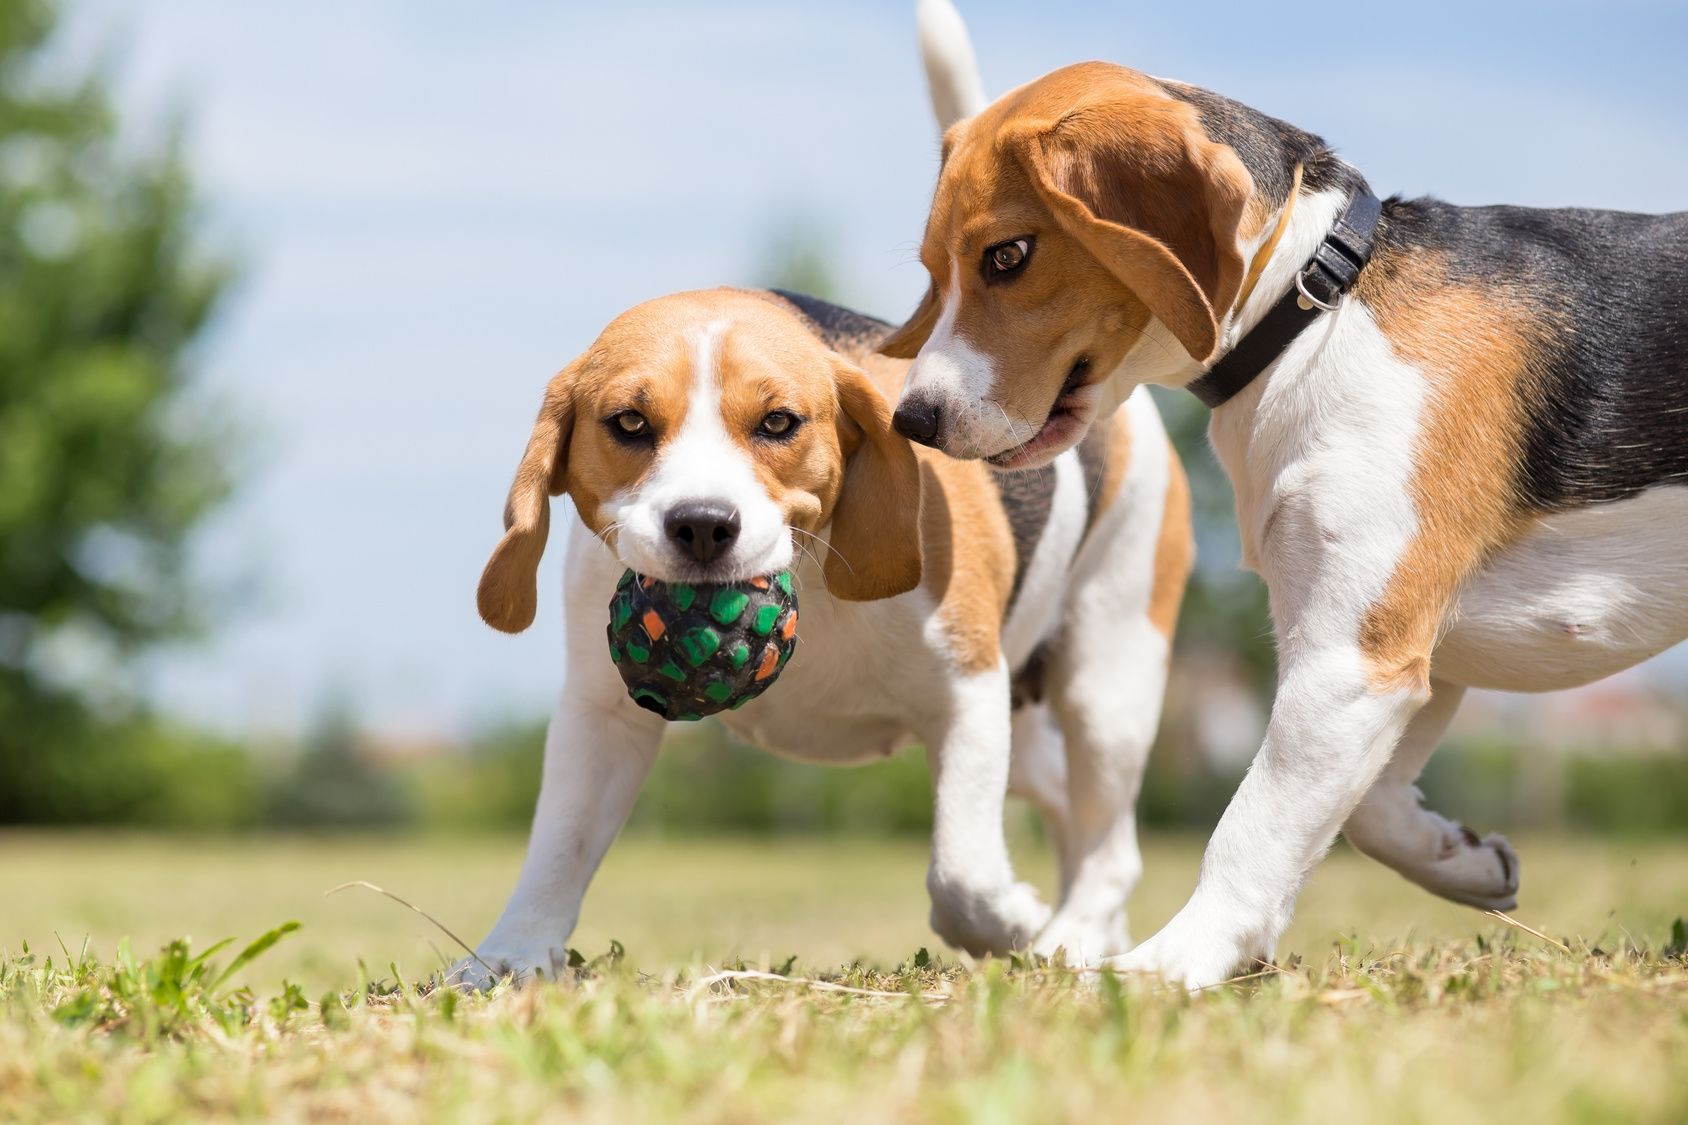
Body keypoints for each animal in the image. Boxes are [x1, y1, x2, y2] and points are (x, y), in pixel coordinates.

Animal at [455, 287, 1195, 979]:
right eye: (629, 423)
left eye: (778, 422)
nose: (702, 524)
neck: (805, 566)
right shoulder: (602, 716)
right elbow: (561, 842)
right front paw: (509, 956)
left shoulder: (969, 693)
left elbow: (961, 876)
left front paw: (1013, 920)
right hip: (1035, 743)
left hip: (1107, 689)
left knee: (1112, 848)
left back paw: (1074, 932)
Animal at [884, 0, 1688, 979]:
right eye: (934, 270)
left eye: (1008, 255)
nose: (912, 419)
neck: (1321, 306)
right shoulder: (1398, 647)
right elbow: (1367, 810)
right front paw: (1459, 858)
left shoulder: (1350, 655)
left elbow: (1251, 824)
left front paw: (1167, 965)